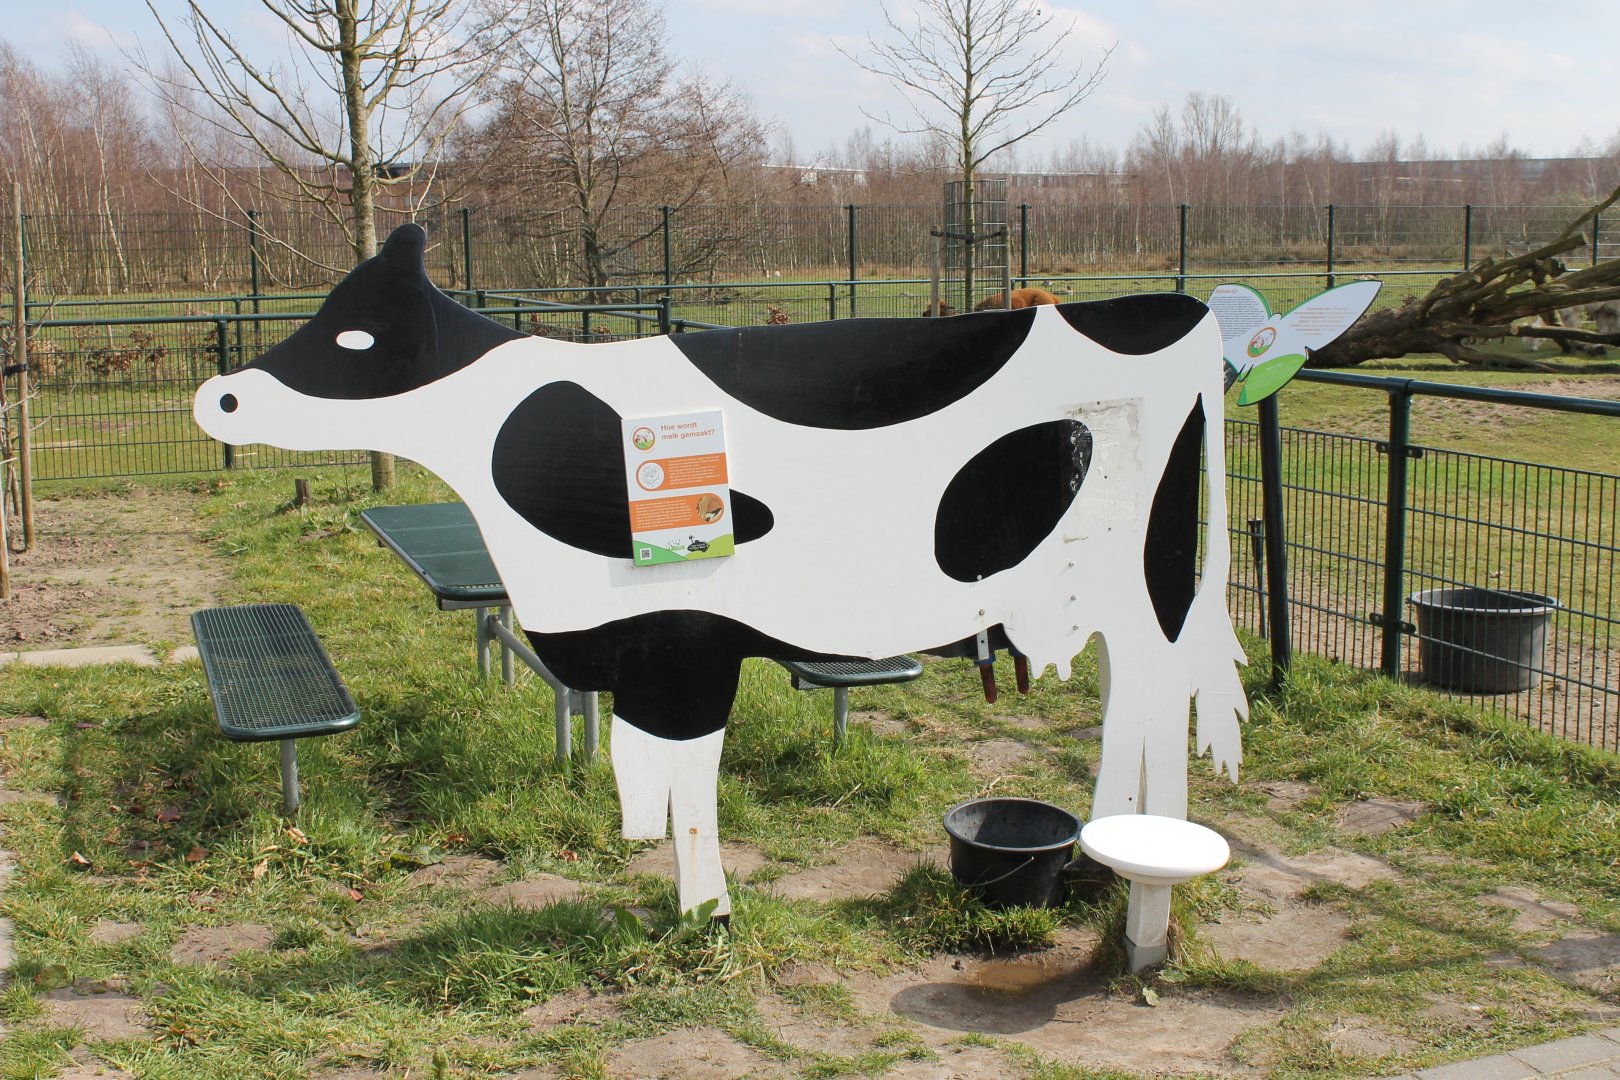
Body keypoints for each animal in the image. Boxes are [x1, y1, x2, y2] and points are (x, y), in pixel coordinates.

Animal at [193, 224, 1248, 918]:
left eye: (356, 337)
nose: (222, 397)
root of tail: (1179, 313)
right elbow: (643, 769)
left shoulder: (683, 647)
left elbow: (687, 778)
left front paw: (707, 915)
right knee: (1130, 704)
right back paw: (1097, 861)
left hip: (1149, 584)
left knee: (1150, 700)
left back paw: (1119, 862)